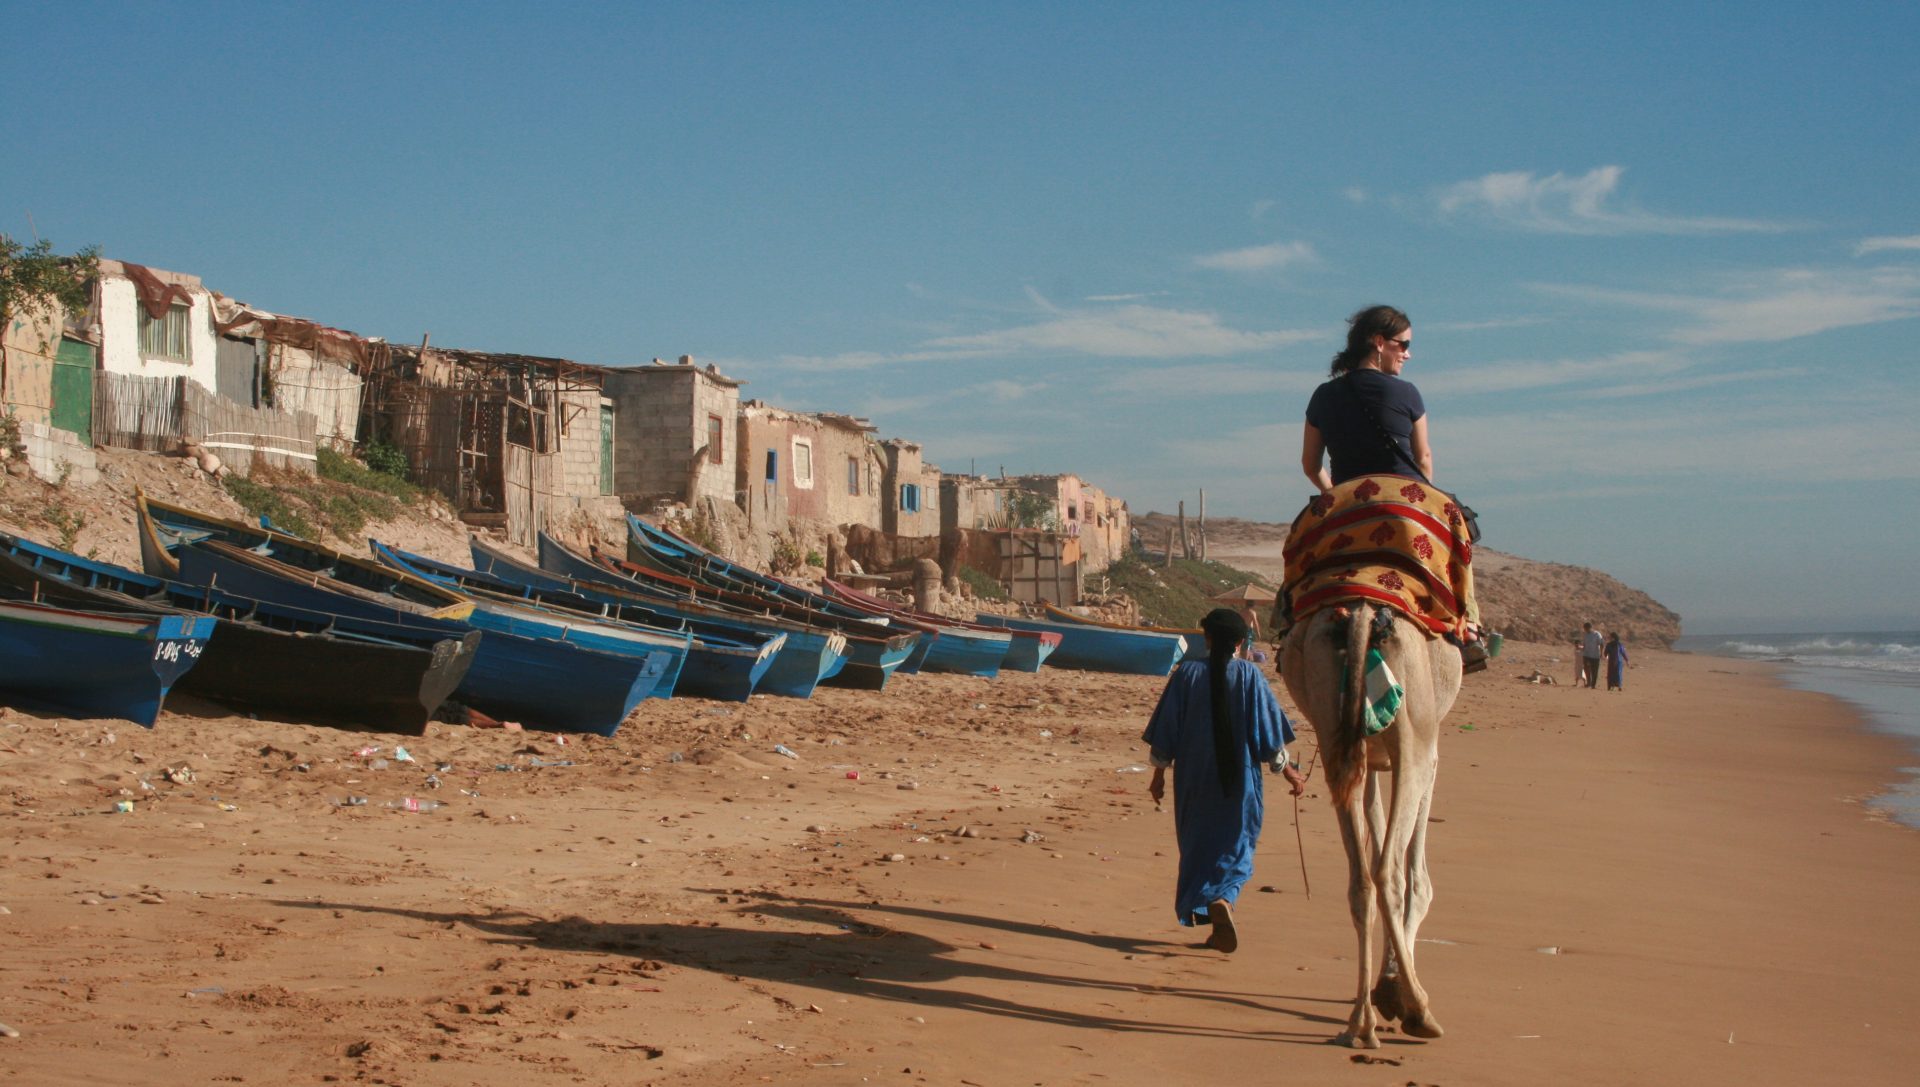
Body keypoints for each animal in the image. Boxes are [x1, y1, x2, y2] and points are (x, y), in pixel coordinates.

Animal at [1282, 599, 1459, 1052]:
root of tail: (1361, 615)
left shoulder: (1374, 757)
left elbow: (1376, 828)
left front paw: (1387, 988)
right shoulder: (1428, 751)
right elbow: (1418, 879)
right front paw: (1396, 989)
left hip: (1333, 727)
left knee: (1362, 880)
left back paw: (1360, 1023)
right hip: (1413, 731)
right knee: (1389, 872)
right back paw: (1420, 1012)